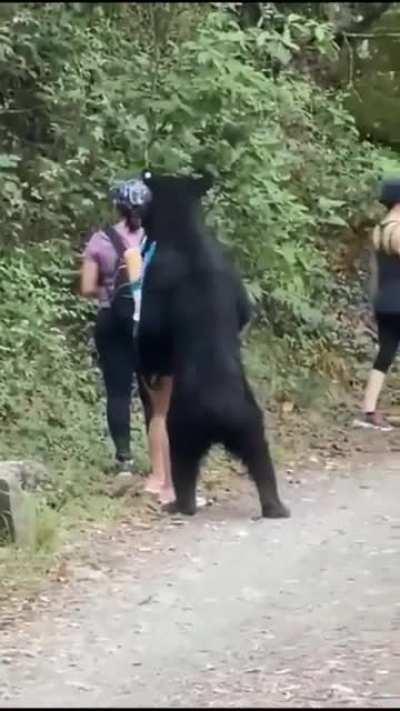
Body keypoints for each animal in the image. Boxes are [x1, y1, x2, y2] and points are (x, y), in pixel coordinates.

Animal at [137, 171, 290, 520]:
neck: (186, 233)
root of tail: (221, 413)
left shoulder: (158, 275)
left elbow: (151, 331)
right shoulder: (231, 272)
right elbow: (244, 310)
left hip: (184, 424)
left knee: (181, 460)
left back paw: (180, 504)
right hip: (250, 421)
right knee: (261, 457)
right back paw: (275, 505)